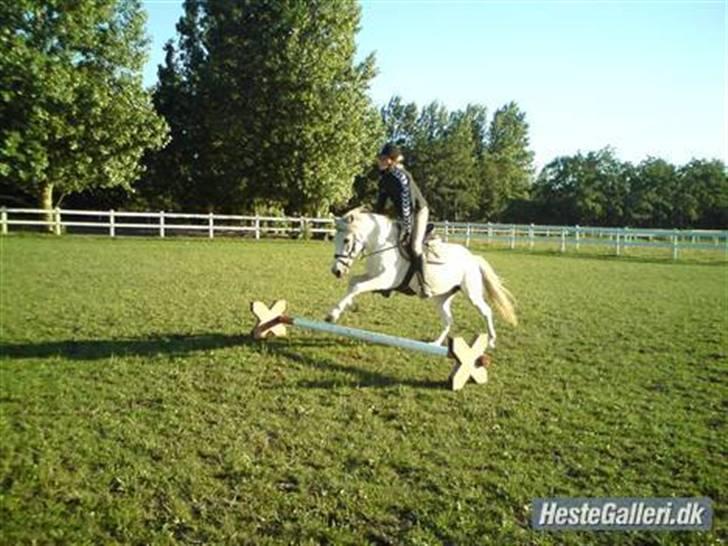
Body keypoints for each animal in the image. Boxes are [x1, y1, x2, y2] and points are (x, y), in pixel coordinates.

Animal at [324, 206, 516, 346]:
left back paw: (491, 340)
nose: (336, 271)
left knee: (486, 311)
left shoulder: (385, 280)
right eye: (334, 239)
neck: (382, 245)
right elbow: (353, 283)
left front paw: (332, 315)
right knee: (448, 320)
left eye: (346, 240)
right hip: (441, 297)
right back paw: (435, 344)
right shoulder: (373, 275)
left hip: (472, 294)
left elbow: (357, 286)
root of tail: (473, 258)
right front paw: (347, 305)